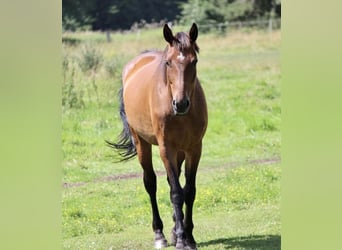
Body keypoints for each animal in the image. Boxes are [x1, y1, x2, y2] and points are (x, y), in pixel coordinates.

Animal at [108, 23, 207, 250]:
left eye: (194, 61)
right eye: (168, 62)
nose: (181, 104)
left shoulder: (194, 148)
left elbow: (189, 191)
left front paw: (189, 237)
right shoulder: (165, 148)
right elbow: (176, 193)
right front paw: (181, 240)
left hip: (180, 151)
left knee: (173, 182)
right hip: (142, 143)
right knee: (150, 183)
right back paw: (160, 234)